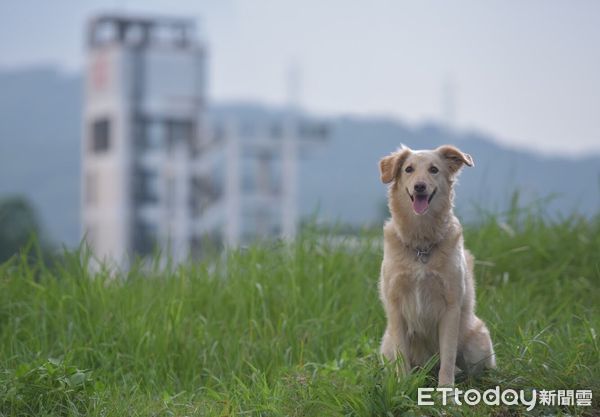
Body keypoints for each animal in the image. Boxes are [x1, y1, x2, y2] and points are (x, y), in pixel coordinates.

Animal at [378, 145, 494, 386]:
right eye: (408, 169)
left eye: (434, 169)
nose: (419, 186)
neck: (421, 244)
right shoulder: (395, 305)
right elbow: (402, 355)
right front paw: (403, 386)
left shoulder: (451, 305)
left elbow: (448, 357)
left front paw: (446, 390)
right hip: (386, 345)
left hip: (477, 342)